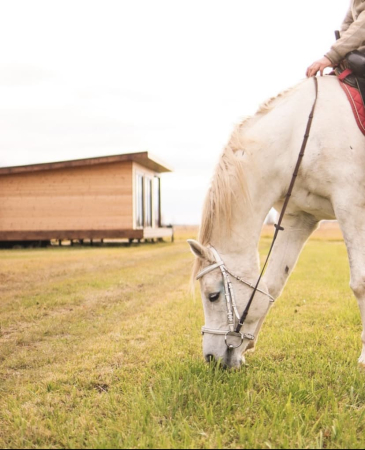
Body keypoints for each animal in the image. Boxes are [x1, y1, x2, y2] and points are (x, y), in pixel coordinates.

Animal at [189, 74, 364, 370]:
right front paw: (247, 347)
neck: (298, 137)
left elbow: (360, 281)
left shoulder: (351, 204)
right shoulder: (298, 220)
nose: (211, 359)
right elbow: (271, 285)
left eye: (213, 296)